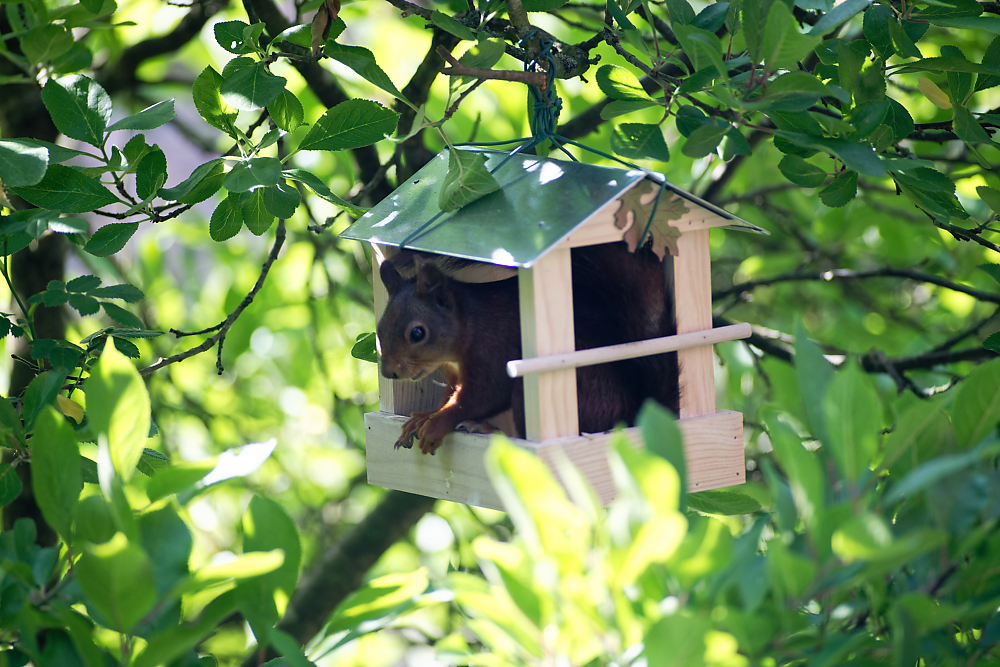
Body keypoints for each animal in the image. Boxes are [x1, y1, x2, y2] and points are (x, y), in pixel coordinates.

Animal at [377, 243, 679, 454]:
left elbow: (479, 398)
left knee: (520, 439)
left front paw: (437, 424)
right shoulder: (454, 376)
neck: (468, 325)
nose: (389, 372)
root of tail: (630, 416)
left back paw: (486, 428)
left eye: (417, 333)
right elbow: (450, 396)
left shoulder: (493, 351)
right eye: (379, 328)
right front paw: (422, 418)